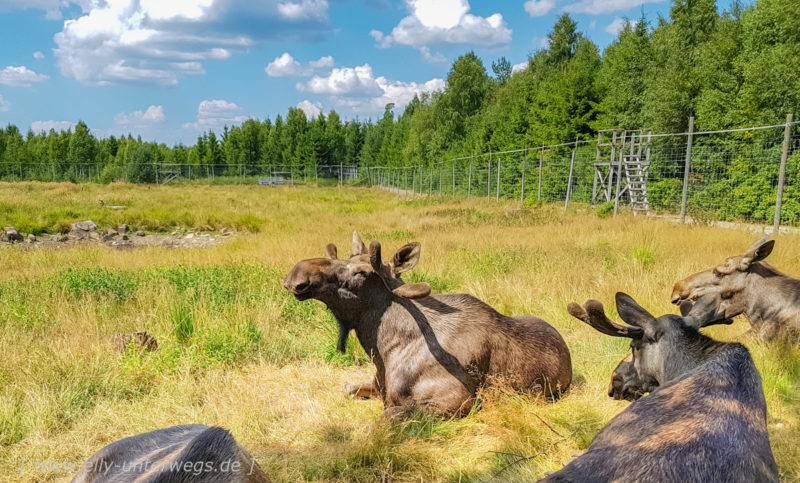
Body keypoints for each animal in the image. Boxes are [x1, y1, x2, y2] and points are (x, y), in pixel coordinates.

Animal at [284, 233, 572, 418]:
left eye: (361, 272)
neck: (382, 348)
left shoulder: (461, 400)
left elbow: (389, 414)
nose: (297, 275)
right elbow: (349, 389)